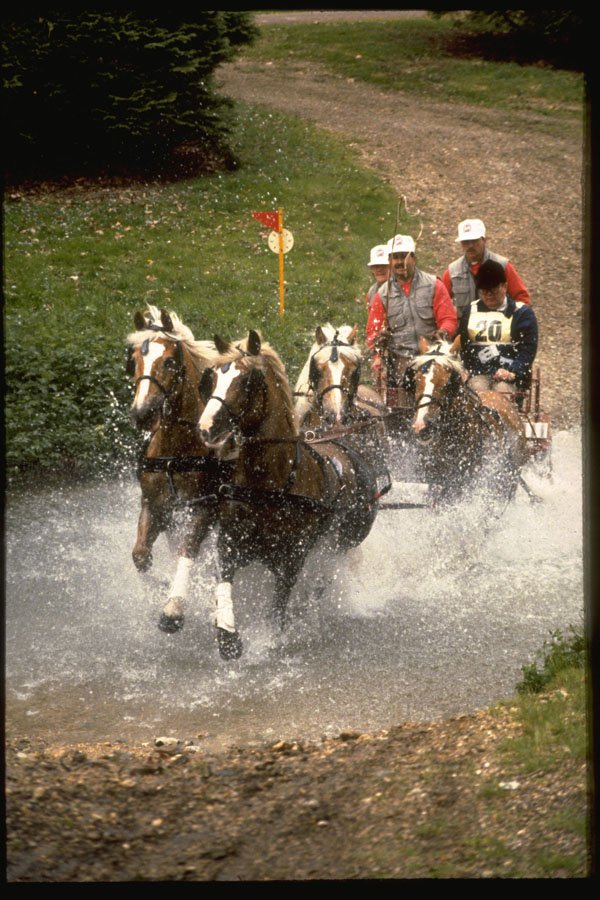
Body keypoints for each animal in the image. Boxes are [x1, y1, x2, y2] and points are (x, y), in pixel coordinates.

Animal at [127, 305, 233, 634]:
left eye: (170, 361)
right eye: (133, 361)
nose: (143, 413)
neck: (176, 451)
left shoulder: (205, 509)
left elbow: (188, 550)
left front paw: (174, 606)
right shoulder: (154, 505)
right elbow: (141, 556)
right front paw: (162, 585)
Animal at [198, 329, 381, 660]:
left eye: (247, 381)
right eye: (213, 376)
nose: (206, 427)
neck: (270, 483)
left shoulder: (291, 560)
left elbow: (278, 607)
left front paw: (272, 638)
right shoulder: (230, 544)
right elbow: (224, 581)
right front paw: (228, 637)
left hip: (342, 544)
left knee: (323, 579)